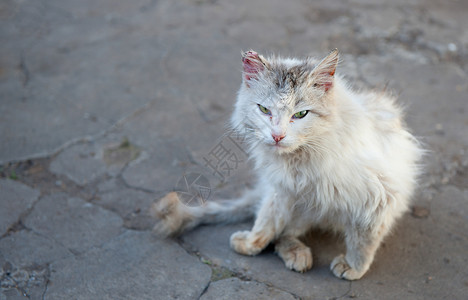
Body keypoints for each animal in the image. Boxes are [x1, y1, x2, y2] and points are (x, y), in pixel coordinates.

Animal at [152, 49, 422, 282]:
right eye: (264, 109)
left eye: (301, 114)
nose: (277, 136)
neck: (300, 159)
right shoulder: (281, 189)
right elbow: (266, 221)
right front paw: (251, 243)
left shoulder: (378, 198)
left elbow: (363, 240)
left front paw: (353, 267)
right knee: (282, 233)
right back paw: (297, 255)